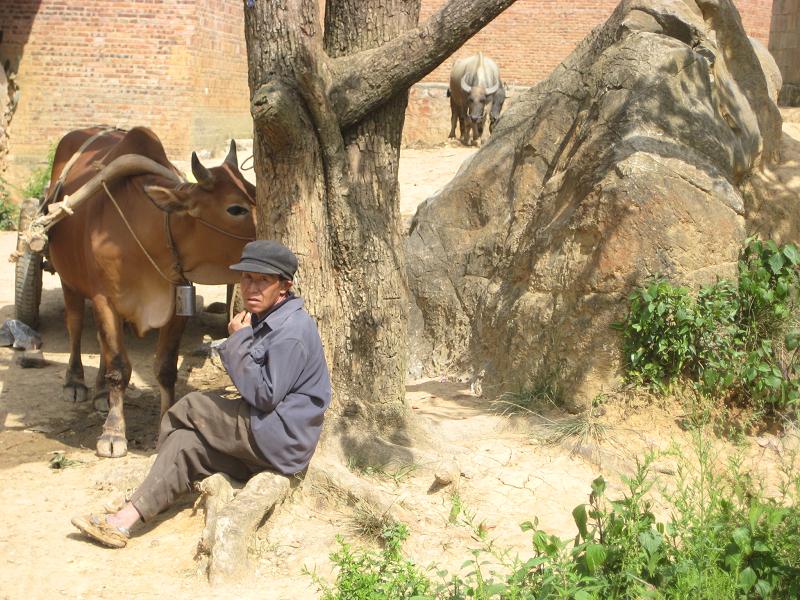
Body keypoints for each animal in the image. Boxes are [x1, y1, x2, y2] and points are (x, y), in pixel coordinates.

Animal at [46, 125, 256, 454]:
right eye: (236, 208)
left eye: (258, 192)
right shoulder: (104, 299)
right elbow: (119, 366)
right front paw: (113, 433)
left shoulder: (179, 300)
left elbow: (165, 368)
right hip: (70, 281)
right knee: (76, 326)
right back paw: (76, 382)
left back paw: (100, 394)